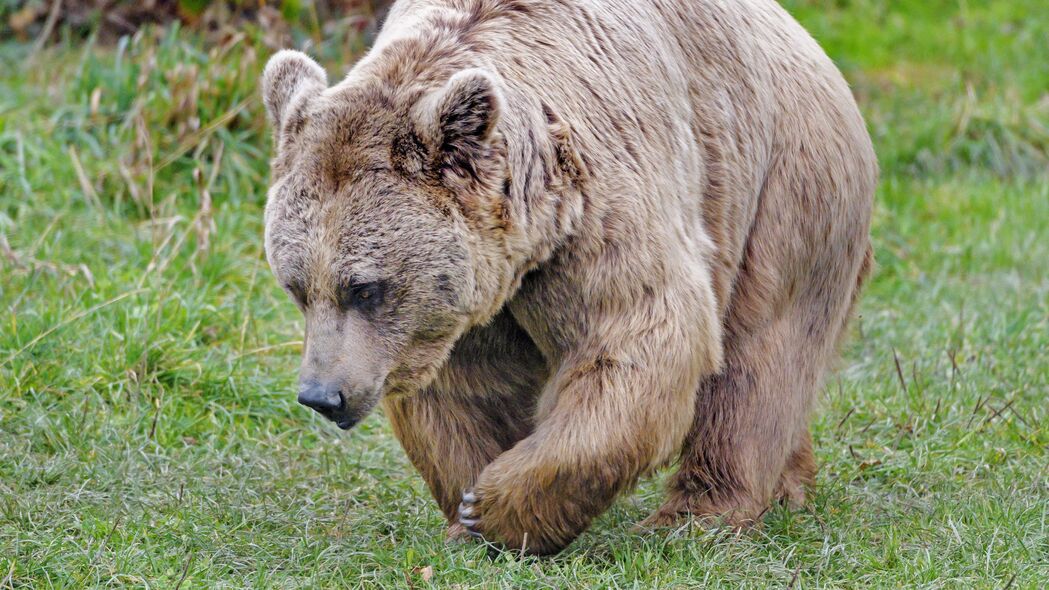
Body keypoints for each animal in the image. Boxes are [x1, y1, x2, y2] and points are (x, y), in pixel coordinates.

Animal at [260, 0, 876, 554]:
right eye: (297, 287)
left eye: (364, 288)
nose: (322, 395)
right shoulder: (467, 294)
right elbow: (469, 386)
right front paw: (468, 511)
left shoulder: (597, 201)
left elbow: (632, 335)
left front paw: (493, 509)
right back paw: (789, 484)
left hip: (780, 191)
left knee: (758, 357)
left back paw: (699, 513)